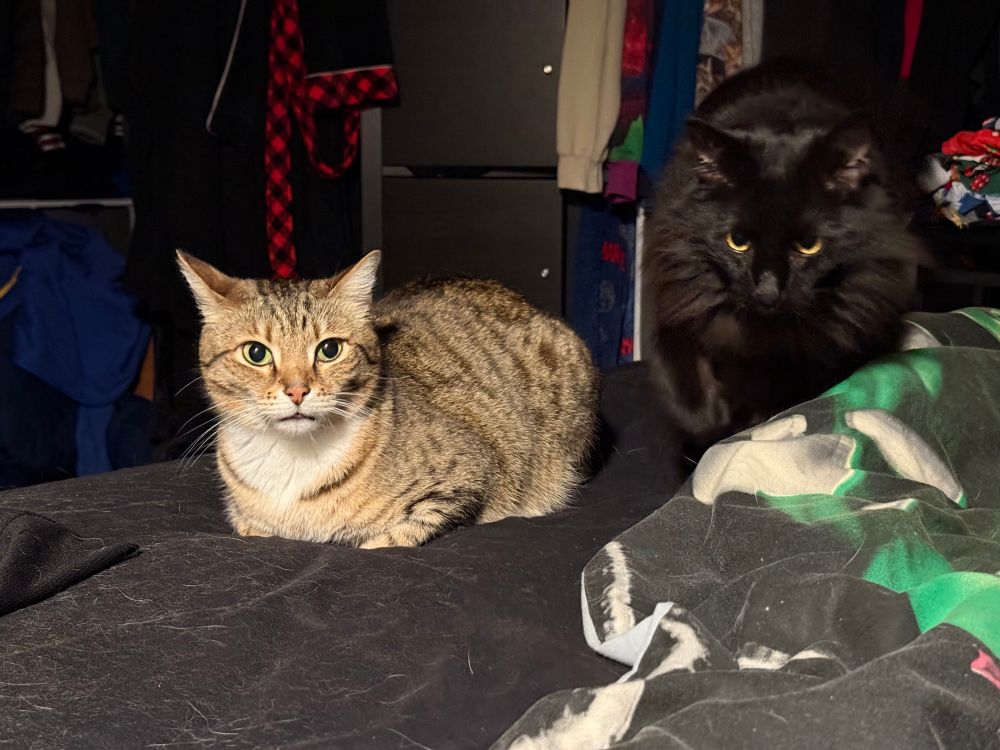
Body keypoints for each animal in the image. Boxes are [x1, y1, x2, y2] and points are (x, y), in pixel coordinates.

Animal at [176, 249, 599, 548]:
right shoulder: (246, 520)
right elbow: (248, 526)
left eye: (329, 349)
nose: (297, 390)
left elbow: (402, 532)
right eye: (256, 353)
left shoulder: (473, 470)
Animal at [644, 61, 928, 453]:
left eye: (809, 246)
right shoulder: (678, 302)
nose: (767, 292)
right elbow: (692, 405)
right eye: (737, 242)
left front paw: (749, 425)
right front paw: (716, 428)